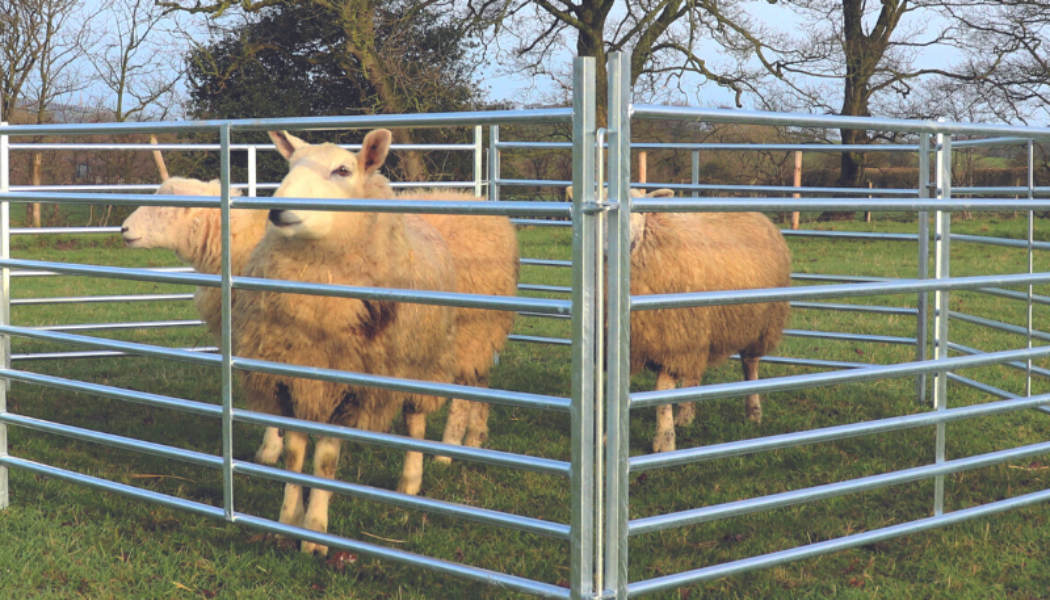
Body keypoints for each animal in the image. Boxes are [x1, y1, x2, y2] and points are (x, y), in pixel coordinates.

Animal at [238, 129, 459, 554]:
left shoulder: (348, 387)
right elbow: (294, 457)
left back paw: (409, 485)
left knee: (415, 423)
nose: (277, 211)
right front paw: (286, 523)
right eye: (290, 166)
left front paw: (315, 535)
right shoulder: (291, 379)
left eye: (342, 170)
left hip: (418, 364)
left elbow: (324, 462)